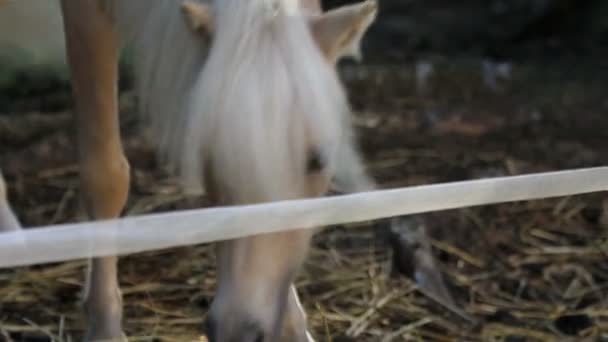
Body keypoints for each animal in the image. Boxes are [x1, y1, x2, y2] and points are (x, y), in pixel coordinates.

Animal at [0, 0, 378, 340]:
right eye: (211, 154)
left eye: (319, 161)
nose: (237, 330)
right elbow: (106, 177)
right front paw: (105, 328)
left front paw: (293, 326)